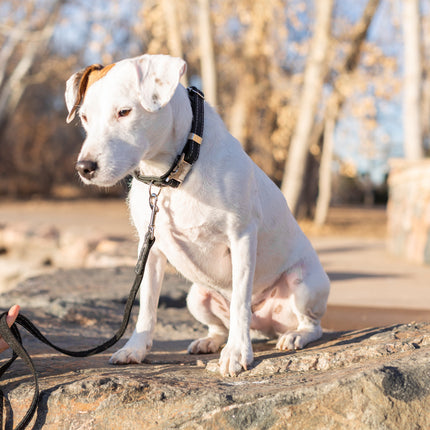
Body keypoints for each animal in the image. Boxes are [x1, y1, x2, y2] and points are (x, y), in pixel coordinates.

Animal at [66, 53, 330, 376]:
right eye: (84, 117)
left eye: (124, 112)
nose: (85, 168)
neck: (173, 172)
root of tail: (263, 325)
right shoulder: (150, 249)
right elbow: (147, 306)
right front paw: (136, 349)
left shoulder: (241, 237)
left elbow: (240, 301)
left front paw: (238, 352)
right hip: (196, 297)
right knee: (220, 326)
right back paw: (210, 341)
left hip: (302, 283)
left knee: (311, 324)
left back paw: (295, 335)